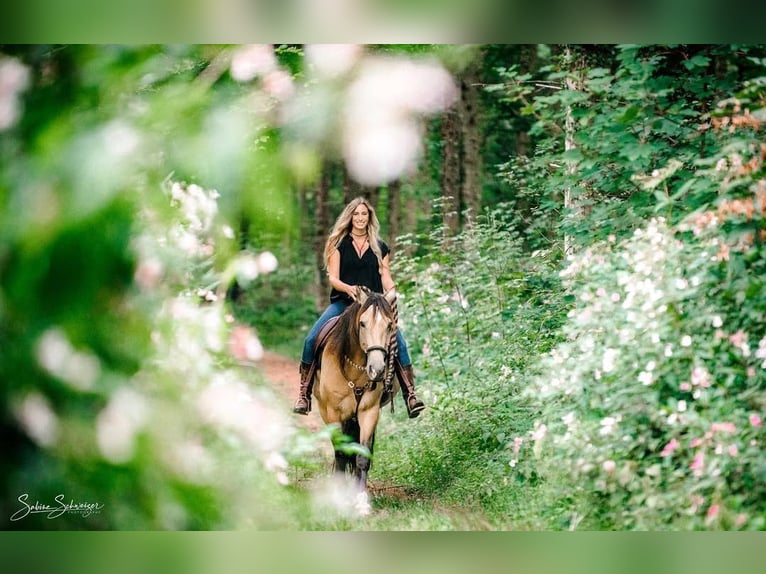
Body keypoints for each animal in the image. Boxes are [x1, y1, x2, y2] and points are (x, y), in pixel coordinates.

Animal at [314, 286, 400, 498]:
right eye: (362, 323)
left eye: (389, 325)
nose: (377, 369)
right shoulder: (334, 412)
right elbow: (341, 454)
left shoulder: (368, 412)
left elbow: (362, 456)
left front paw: (360, 498)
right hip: (326, 411)